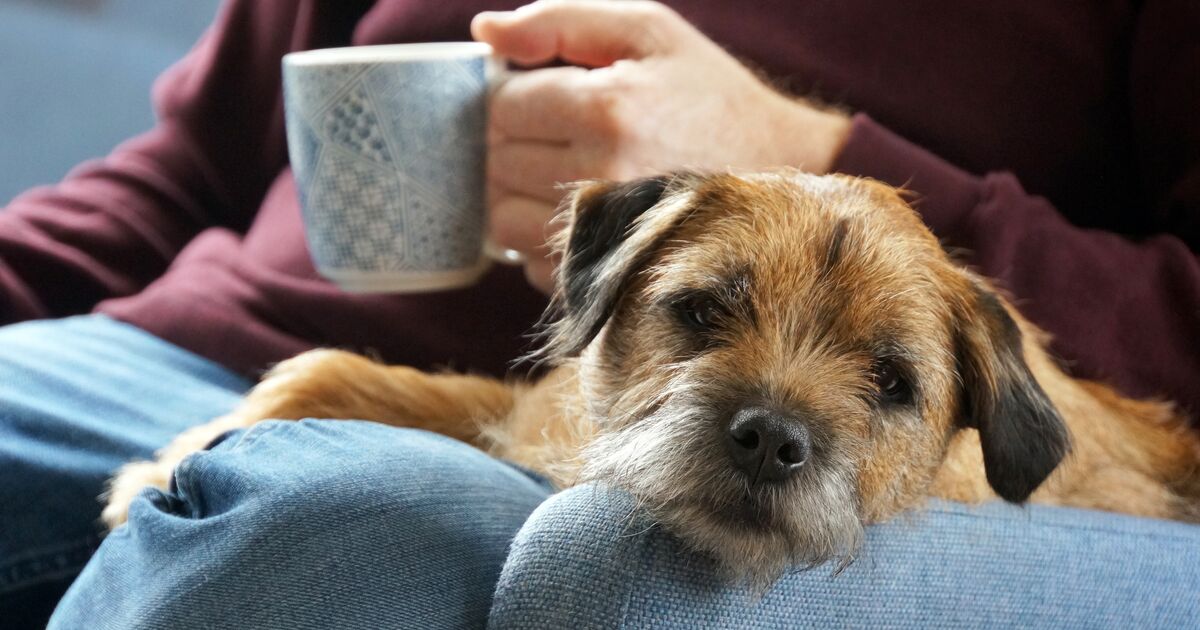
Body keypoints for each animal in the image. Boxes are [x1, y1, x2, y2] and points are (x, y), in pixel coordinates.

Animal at [103, 168, 1200, 585]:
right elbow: (322, 363)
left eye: (891, 382)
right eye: (703, 309)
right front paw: (165, 458)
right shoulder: (527, 414)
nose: (771, 439)